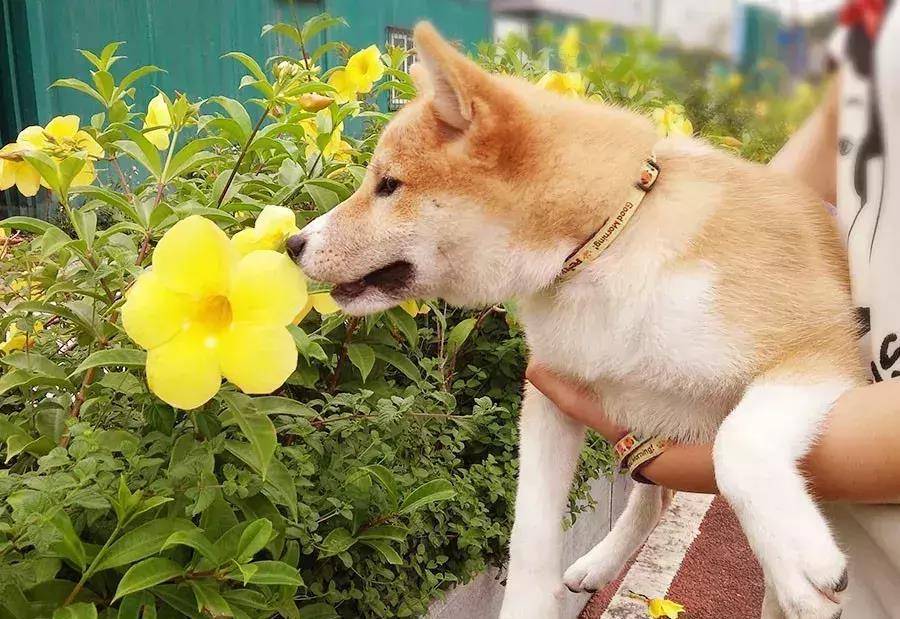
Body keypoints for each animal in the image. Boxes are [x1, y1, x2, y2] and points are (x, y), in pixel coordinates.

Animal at [290, 23, 864, 619]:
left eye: (388, 185)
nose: (292, 242)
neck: (604, 245)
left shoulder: (821, 346)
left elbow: (738, 444)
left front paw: (799, 559)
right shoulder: (550, 396)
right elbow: (530, 533)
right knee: (654, 495)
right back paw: (601, 564)